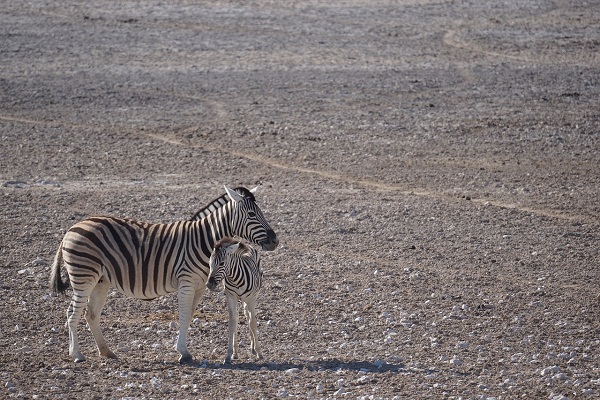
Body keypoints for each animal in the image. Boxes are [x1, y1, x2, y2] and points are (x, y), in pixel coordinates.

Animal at [206, 238, 262, 366]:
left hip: (252, 297)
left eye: (222, 263)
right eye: (209, 263)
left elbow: (253, 323)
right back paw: (236, 353)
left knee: (249, 317)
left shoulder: (251, 299)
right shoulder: (231, 297)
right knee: (239, 317)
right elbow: (232, 322)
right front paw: (229, 354)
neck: (235, 279)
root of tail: (247, 245)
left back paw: (253, 348)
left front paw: (259, 352)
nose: (209, 284)